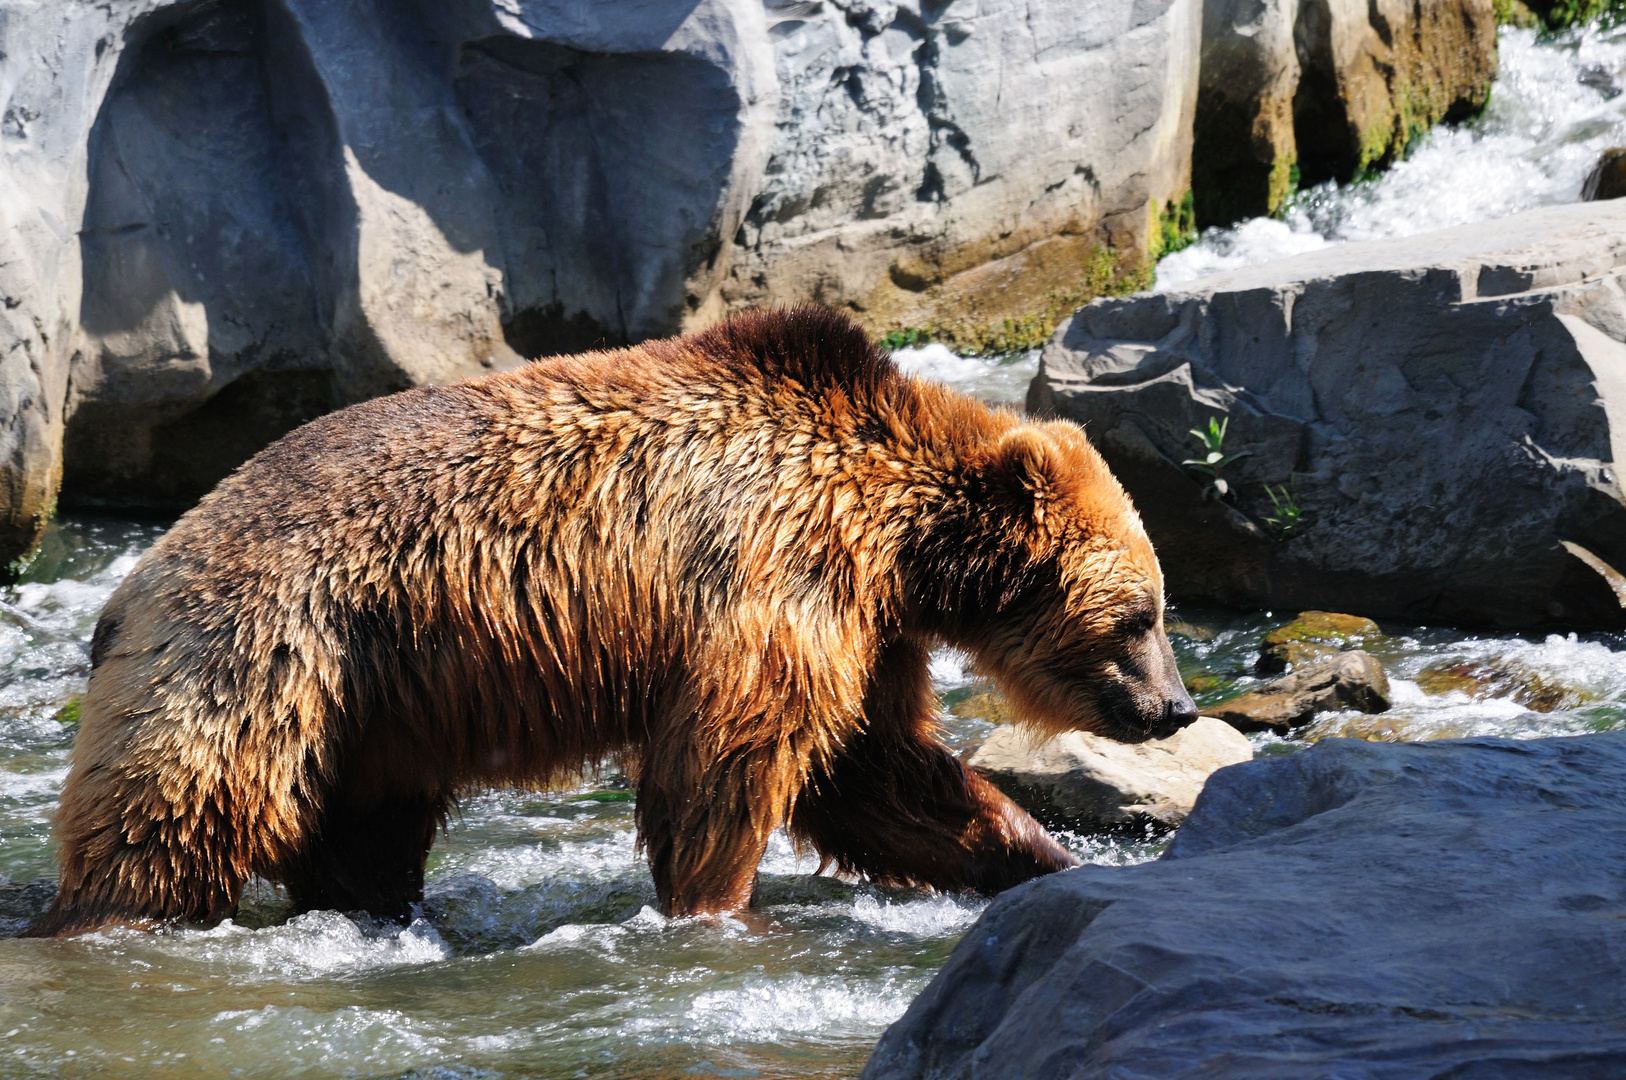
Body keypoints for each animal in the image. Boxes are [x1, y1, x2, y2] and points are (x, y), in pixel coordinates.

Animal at [25, 305, 1196, 936]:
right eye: (1138, 617)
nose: (1176, 708)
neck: (899, 540)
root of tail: (133, 577)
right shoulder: (775, 574)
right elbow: (733, 763)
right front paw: (716, 907)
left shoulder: (868, 630)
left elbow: (882, 773)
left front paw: (1049, 859)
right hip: (266, 647)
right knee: (179, 809)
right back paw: (102, 918)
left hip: (373, 699)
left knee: (364, 829)